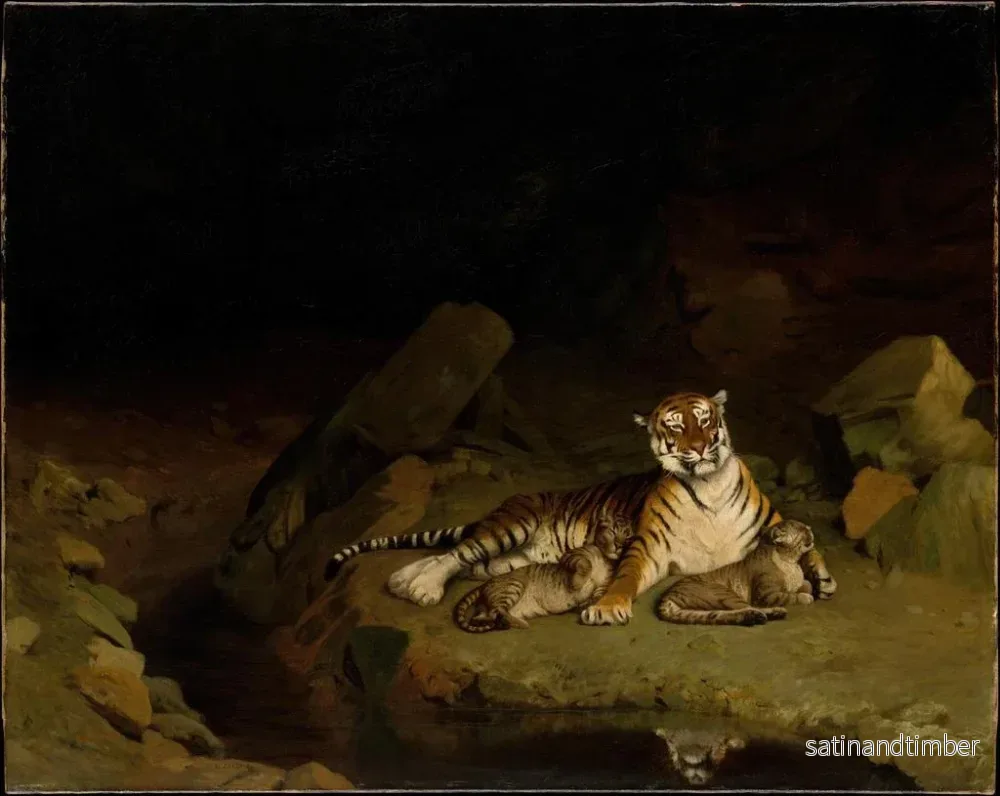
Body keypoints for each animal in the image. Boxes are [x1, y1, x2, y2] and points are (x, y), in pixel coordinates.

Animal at [656, 519, 816, 626]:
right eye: (802, 529)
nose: (810, 527)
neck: (791, 561)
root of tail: (666, 597)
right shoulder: (765, 595)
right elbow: (789, 596)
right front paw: (806, 597)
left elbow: (807, 583)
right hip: (723, 593)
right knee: (749, 607)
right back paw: (772, 613)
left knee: (721, 615)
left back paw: (757, 617)